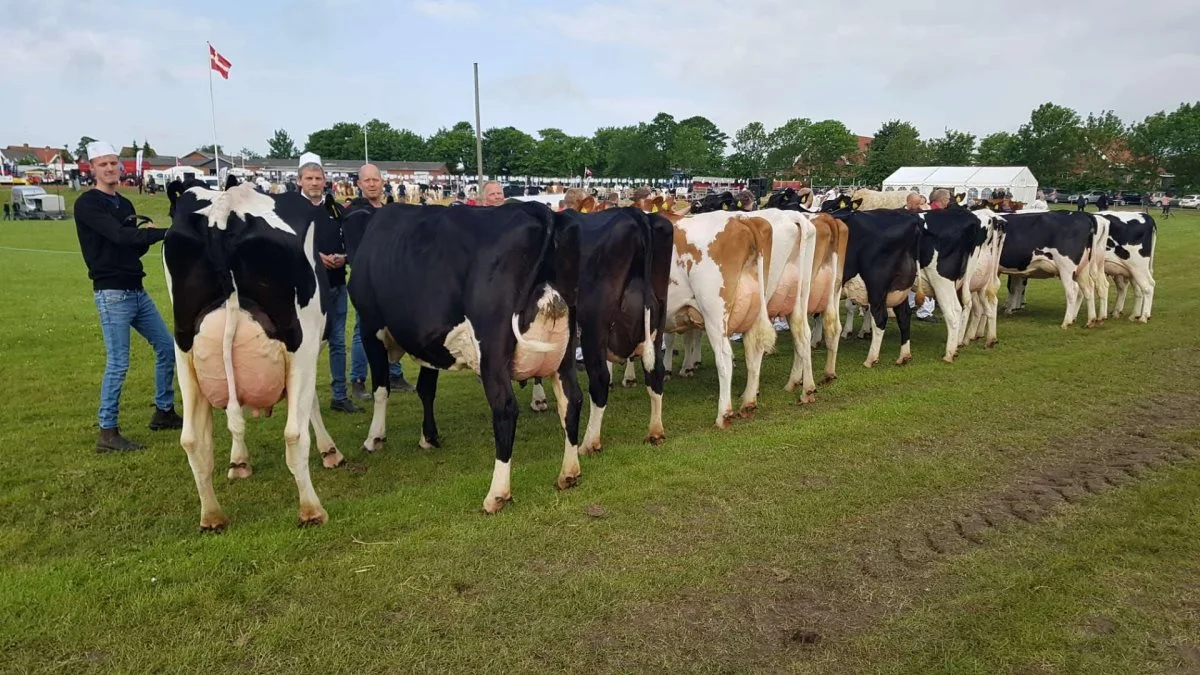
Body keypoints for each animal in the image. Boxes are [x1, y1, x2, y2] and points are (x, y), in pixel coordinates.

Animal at [162, 183, 345, 530]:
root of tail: (223, 209)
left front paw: (238, 461)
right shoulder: (307, 354)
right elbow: (311, 405)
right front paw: (330, 452)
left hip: (185, 352)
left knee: (192, 440)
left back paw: (212, 516)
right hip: (299, 344)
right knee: (294, 434)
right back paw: (312, 510)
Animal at [348, 201, 585, 511]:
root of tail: (538, 209)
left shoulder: (370, 327)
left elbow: (381, 389)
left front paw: (374, 438)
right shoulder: (432, 343)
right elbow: (426, 389)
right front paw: (429, 437)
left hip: (492, 349)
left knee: (505, 407)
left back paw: (496, 494)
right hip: (565, 348)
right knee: (572, 400)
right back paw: (569, 473)